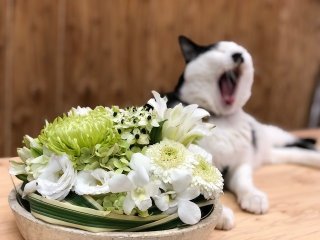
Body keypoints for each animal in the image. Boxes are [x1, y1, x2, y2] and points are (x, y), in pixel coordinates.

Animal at [166, 36, 320, 231]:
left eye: (243, 52)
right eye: (218, 51)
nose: (238, 55)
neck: (221, 120)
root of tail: (265, 153)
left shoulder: (240, 163)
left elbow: (243, 181)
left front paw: (253, 196)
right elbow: (207, 190)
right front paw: (221, 214)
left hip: (274, 135)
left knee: (304, 144)